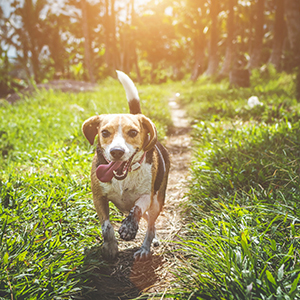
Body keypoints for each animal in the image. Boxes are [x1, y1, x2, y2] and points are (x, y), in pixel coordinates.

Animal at [82, 71, 170, 260]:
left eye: (133, 132)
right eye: (104, 132)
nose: (116, 151)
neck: (124, 177)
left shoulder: (147, 196)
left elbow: (136, 209)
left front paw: (129, 228)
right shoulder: (98, 197)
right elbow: (106, 226)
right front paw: (110, 247)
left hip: (157, 202)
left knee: (150, 224)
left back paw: (145, 247)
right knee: (149, 222)